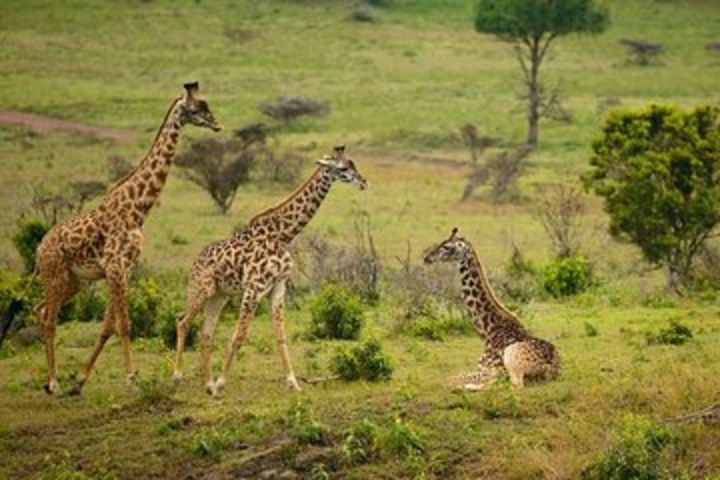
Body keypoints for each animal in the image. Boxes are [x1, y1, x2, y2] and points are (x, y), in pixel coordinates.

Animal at [173, 144, 366, 396]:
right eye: (343, 168)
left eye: (354, 164)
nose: (363, 182)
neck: (283, 235)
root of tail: (194, 261)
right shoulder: (254, 288)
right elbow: (239, 336)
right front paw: (222, 382)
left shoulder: (278, 287)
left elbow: (281, 337)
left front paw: (293, 383)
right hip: (201, 289)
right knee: (182, 321)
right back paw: (178, 376)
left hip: (219, 296)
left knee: (205, 333)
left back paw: (207, 385)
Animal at [424, 229, 560, 390]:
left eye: (447, 247)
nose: (427, 258)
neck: (487, 331)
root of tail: (551, 369)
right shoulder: (483, 368)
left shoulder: (491, 369)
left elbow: (451, 378)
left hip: (512, 360)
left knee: (513, 385)